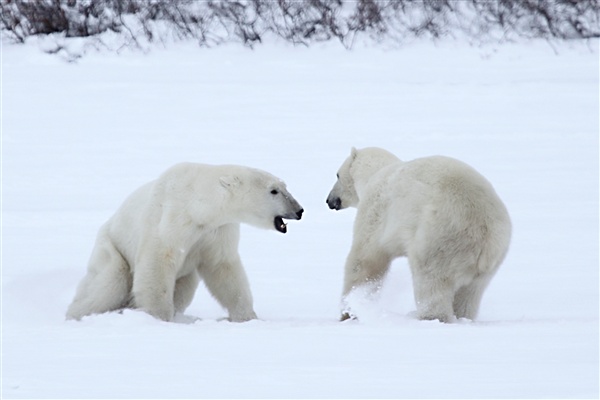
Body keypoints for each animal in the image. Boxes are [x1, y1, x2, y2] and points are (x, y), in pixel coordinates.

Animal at [67, 162, 302, 322]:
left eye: (285, 186)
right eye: (274, 190)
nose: (299, 210)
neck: (197, 204)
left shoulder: (217, 230)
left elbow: (223, 268)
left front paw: (247, 317)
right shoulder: (170, 219)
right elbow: (157, 263)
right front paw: (158, 317)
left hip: (185, 276)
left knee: (183, 289)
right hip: (111, 247)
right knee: (108, 283)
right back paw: (77, 314)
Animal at [328, 147, 510, 322]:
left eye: (337, 174)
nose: (329, 200)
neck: (376, 173)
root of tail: (487, 235)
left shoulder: (377, 210)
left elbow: (365, 259)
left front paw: (349, 311)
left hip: (440, 237)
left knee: (430, 282)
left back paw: (427, 317)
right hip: (490, 262)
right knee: (470, 294)